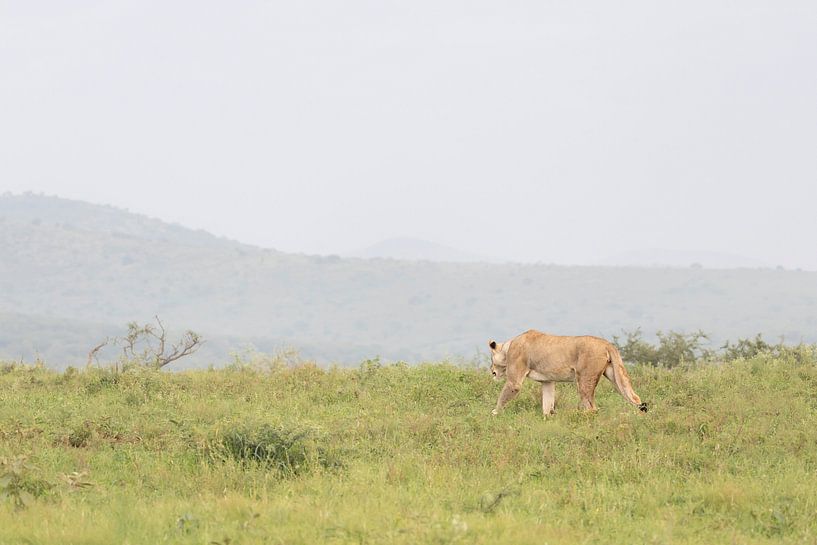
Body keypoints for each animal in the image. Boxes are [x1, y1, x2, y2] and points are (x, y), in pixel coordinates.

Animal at [488, 329, 647, 416]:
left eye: (491, 359)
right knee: (635, 397)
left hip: (584, 379)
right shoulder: (548, 381)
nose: (492, 372)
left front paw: (495, 413)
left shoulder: (514, 380)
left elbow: (504, 396)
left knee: (592, 408)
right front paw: (548, 417)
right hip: (615, 375)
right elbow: (547, 403)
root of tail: (607, 343)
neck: (509, 346)